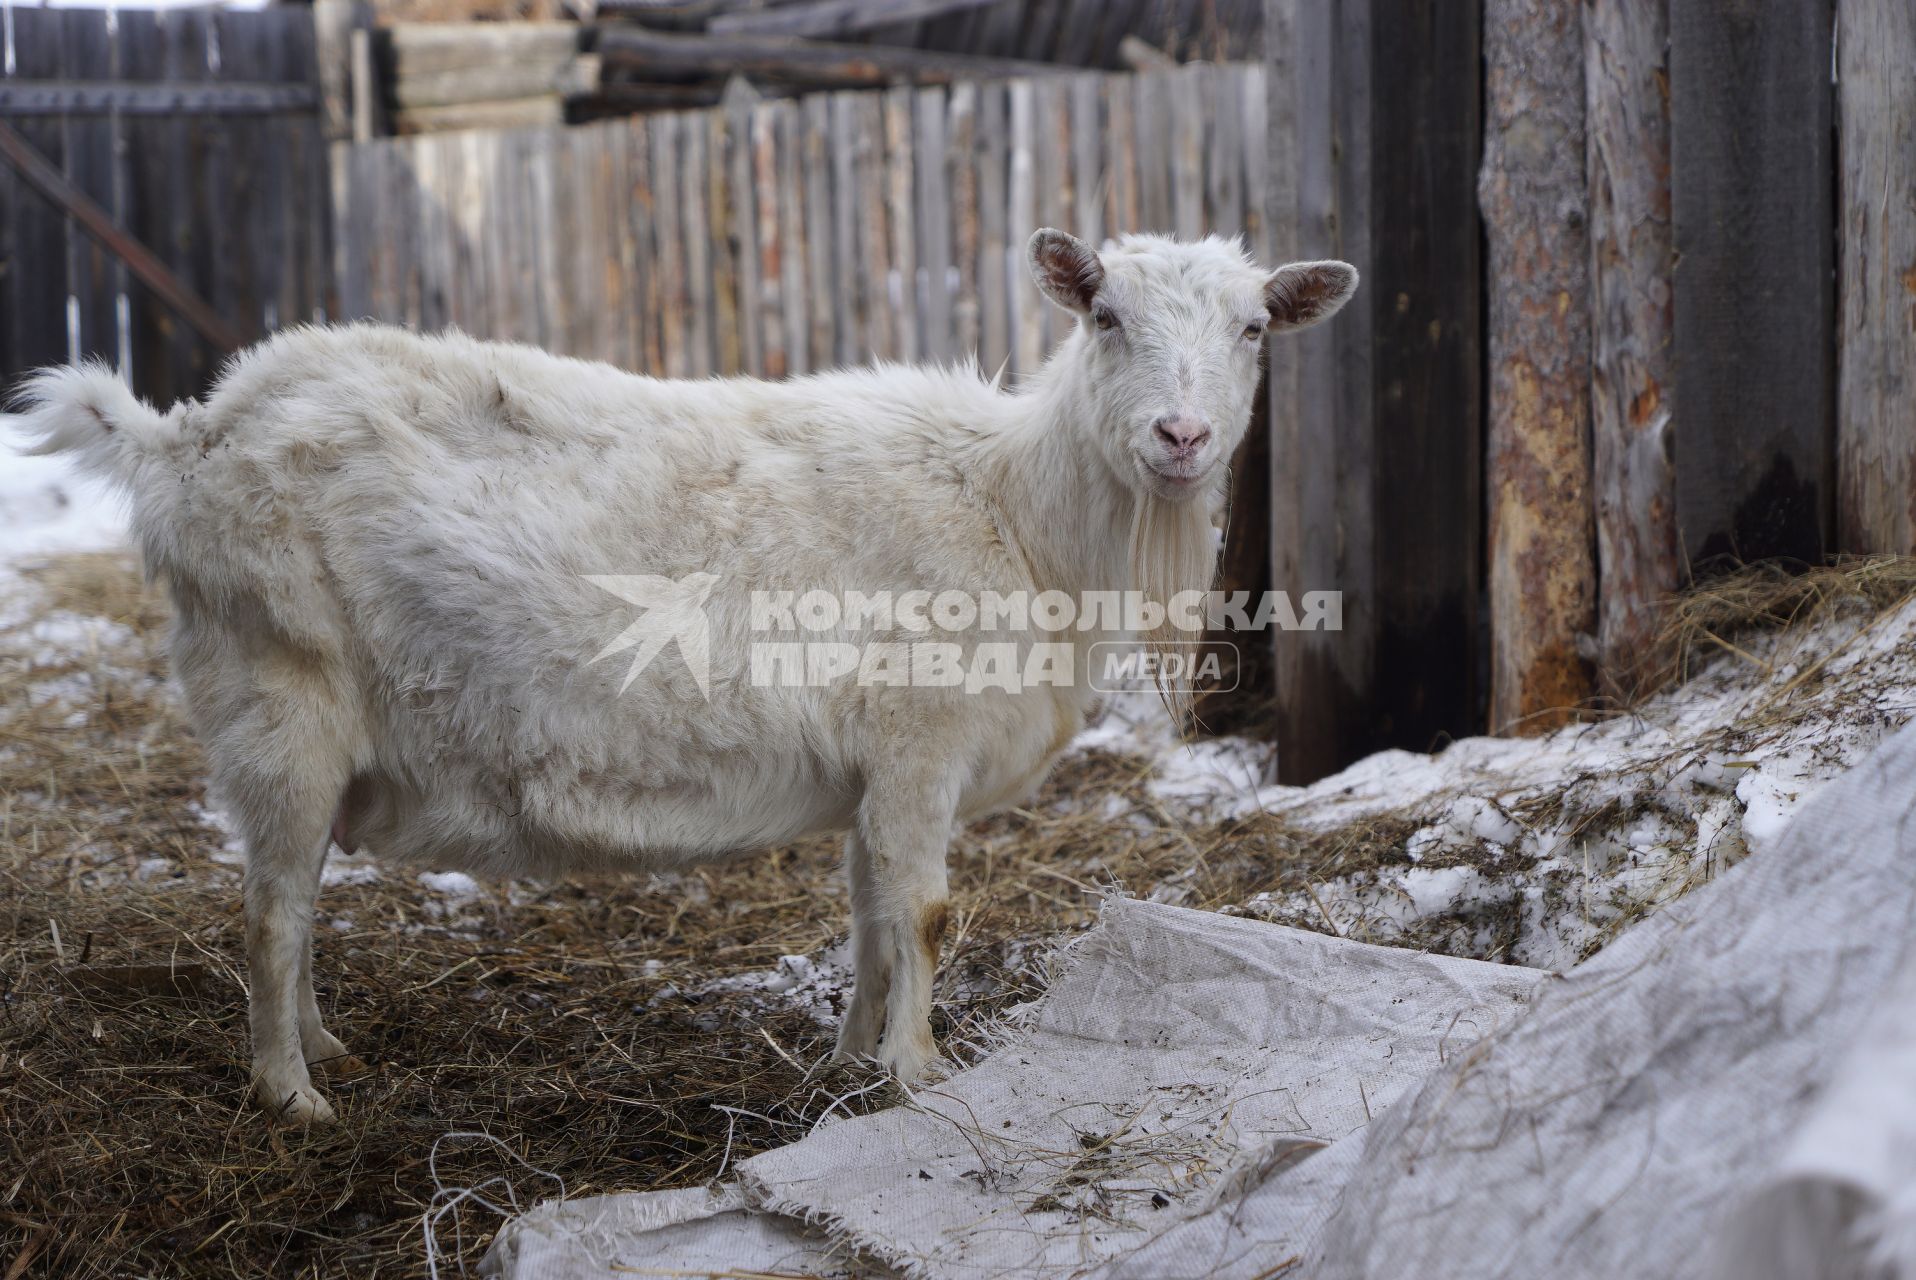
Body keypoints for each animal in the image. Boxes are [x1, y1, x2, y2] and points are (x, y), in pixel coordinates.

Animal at [18, 229, 1364, 1119]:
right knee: (270, 909)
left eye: (1252, 328)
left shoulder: (875, 766)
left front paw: (852, 1058)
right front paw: (920, 1072)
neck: (1013, 509)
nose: (1180, 437)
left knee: (286, 903)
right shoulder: (920, 739)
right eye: (1104, 318)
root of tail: (187, 435)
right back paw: (291, 1090)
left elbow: (869, 915)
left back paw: (326, 1048)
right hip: (278, 691)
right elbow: (924, 910)